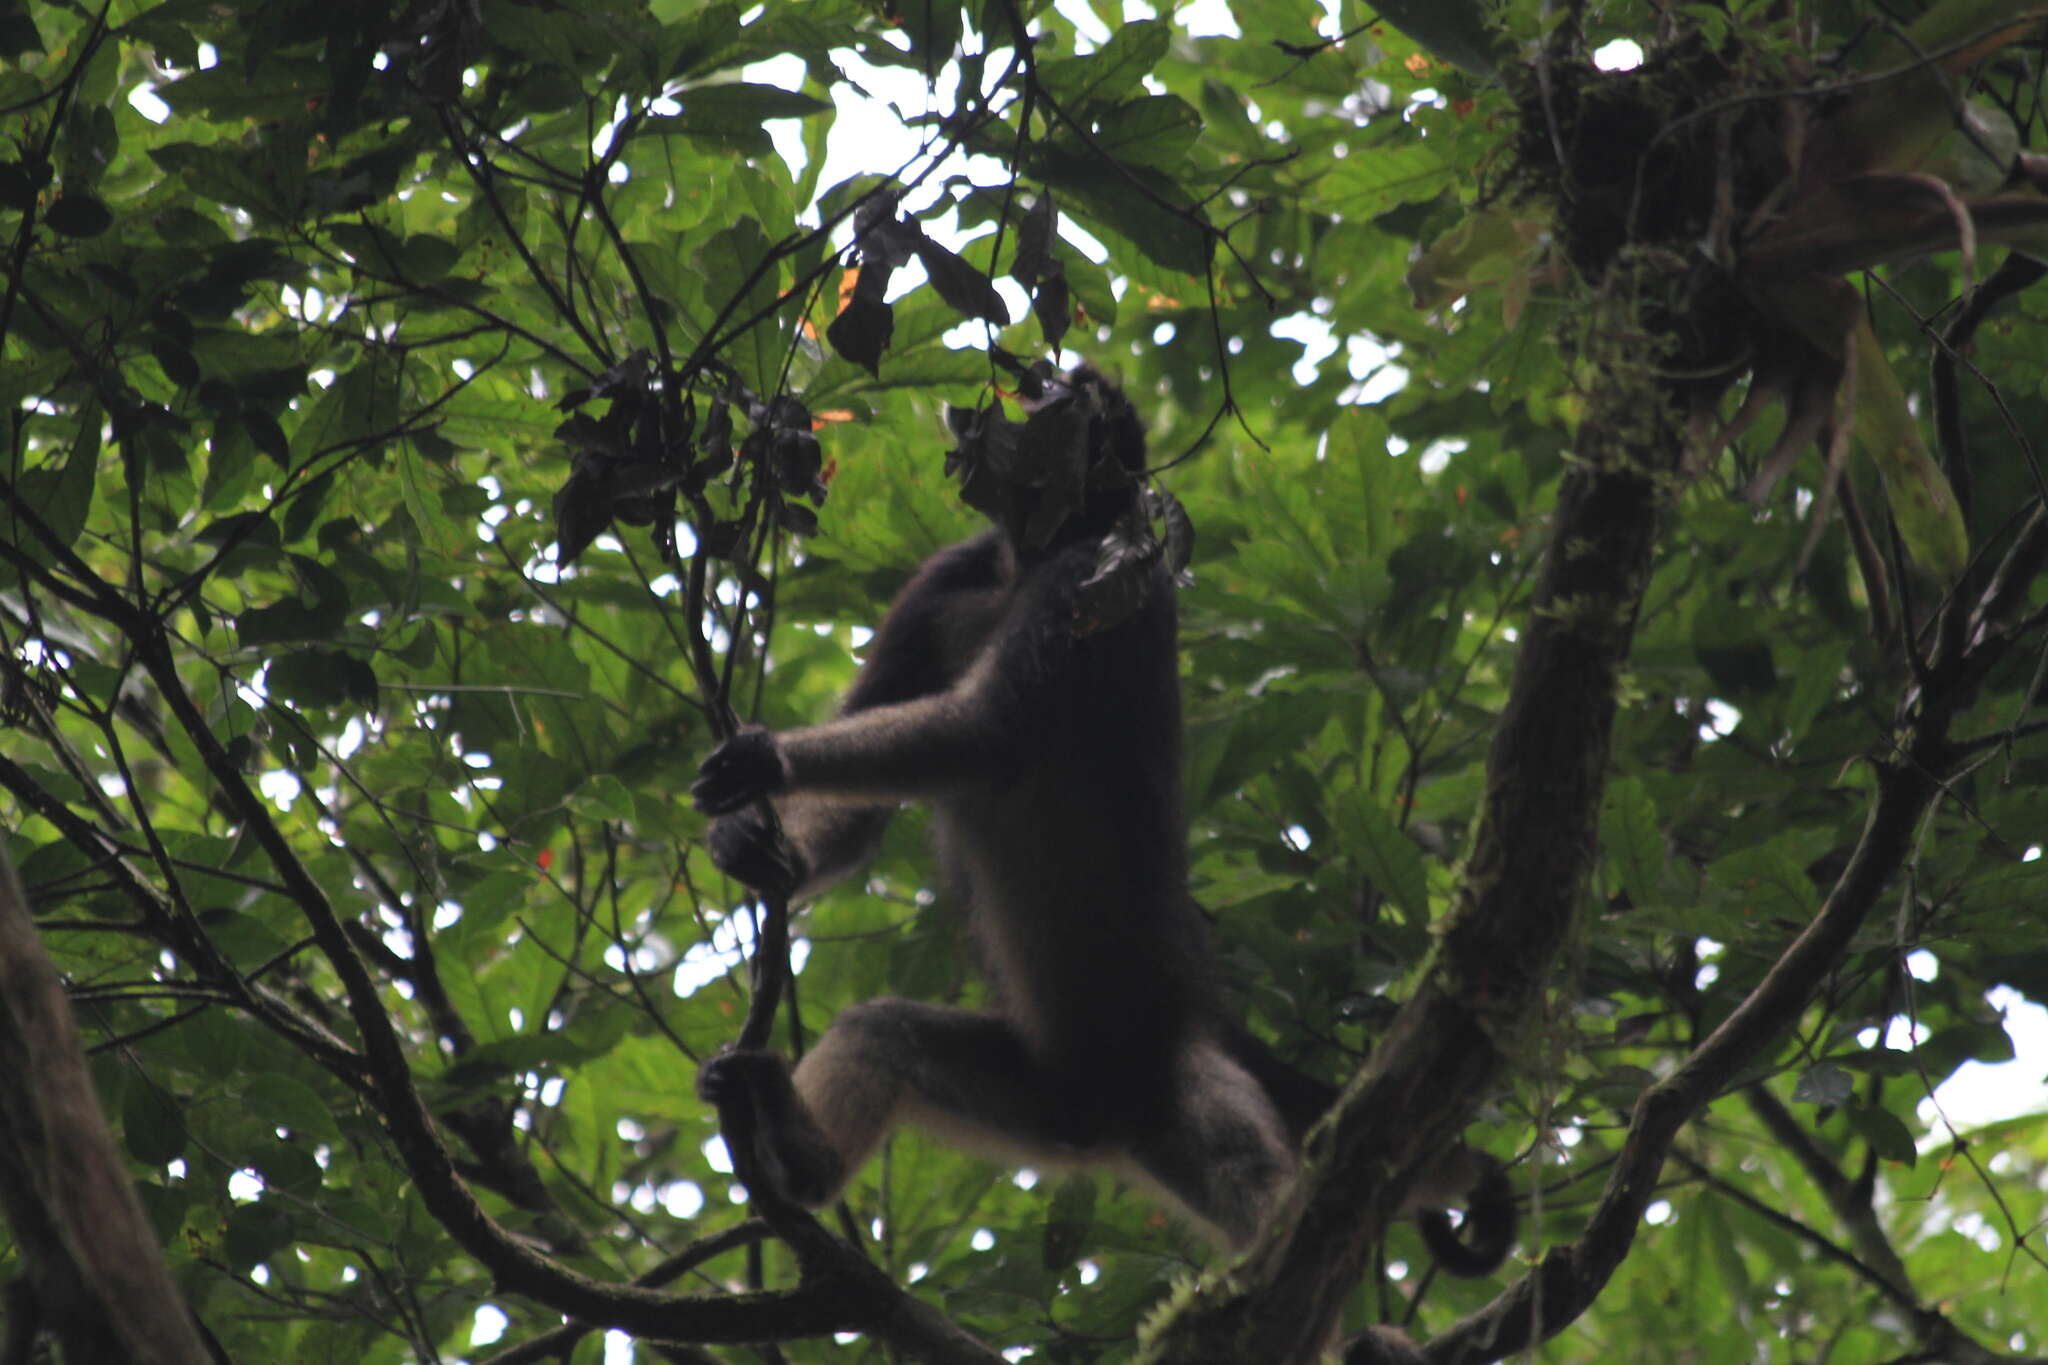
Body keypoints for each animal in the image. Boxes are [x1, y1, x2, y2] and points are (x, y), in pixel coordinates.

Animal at [688, 362, 1507, 1268]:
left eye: (1051, 391)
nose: (1004, 392)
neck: (1027, 558)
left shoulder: (1091, 574)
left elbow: (988, 736)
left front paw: (766, 761)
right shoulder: (949, 573)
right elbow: (871, 805)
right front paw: (753, 846)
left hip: (1181, 1071)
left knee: (1253, 1173)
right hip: (1048, 1103)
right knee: (882, 1033)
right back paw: (803, 1159)